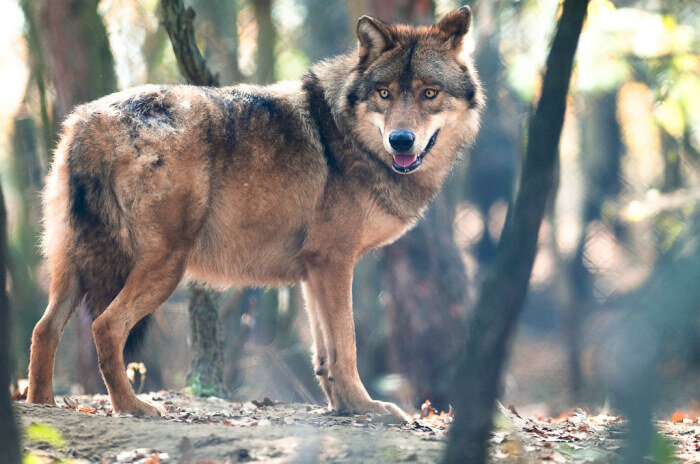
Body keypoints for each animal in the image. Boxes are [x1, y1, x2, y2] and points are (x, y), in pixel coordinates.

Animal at [28, 6, 486, 420]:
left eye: (429, 93)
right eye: (385, 93)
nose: (401, 140)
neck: (348, 136)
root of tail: (92, 123)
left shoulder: (314, 270)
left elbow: (325, 354)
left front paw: (343, 407)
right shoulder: (334, 262)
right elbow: (347, 346)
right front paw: (366, 408)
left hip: (73, 264)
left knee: (44, 329)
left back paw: (41, 404)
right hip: (164, 267)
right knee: (105, 327)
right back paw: (132, 407)